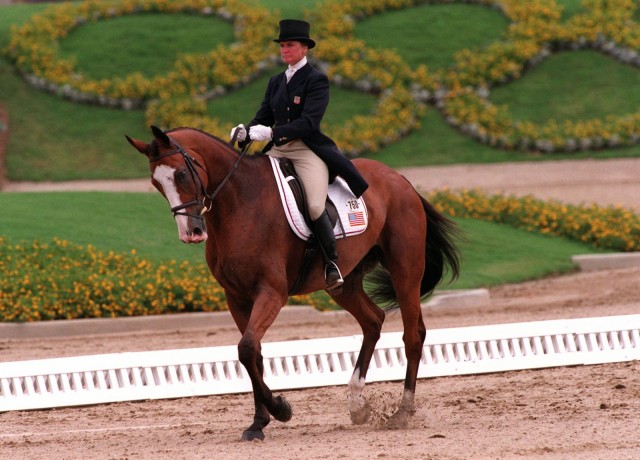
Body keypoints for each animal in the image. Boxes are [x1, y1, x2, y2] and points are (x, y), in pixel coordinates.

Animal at [125, 126, 458, 442]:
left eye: (181, 173)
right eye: (156, 183)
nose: (191, 232)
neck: (239, 202)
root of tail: (400, 178)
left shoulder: (272, 292)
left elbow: (246, 348)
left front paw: (280, 409)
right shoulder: (236, 296)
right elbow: (254, 354)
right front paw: (258, 423)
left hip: (405, 270)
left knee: (412, 335)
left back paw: (403, 411)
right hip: (344, 283)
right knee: (373, 321)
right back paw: (357, 404)